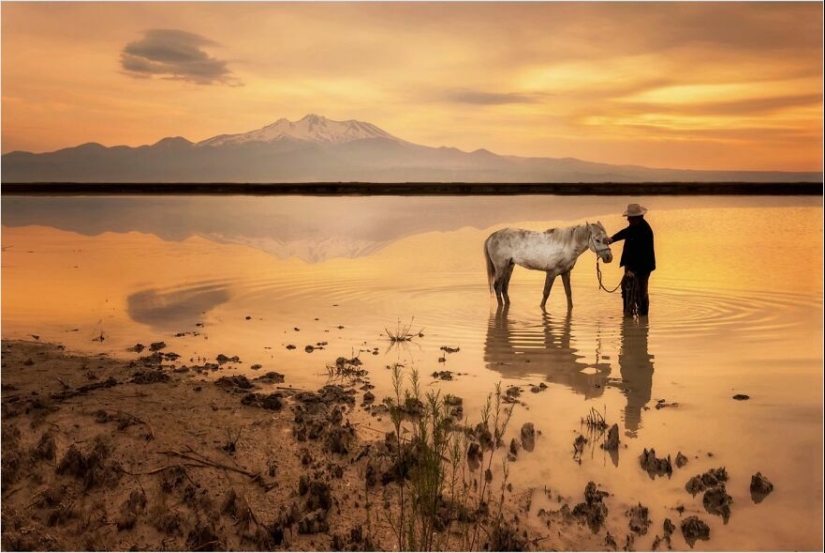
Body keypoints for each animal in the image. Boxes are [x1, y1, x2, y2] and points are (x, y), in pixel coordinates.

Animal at [482, 221, 612, 308]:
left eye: (607, 238)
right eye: (597, 240)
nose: (609, 258)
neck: (566, 246)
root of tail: (491, 237)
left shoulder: (566, 273)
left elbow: (568, 293)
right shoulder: (551, 273)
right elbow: (546, 293)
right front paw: (541, 307)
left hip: (509, 266)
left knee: (504, 287)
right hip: (501, 267)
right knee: (497, 287)